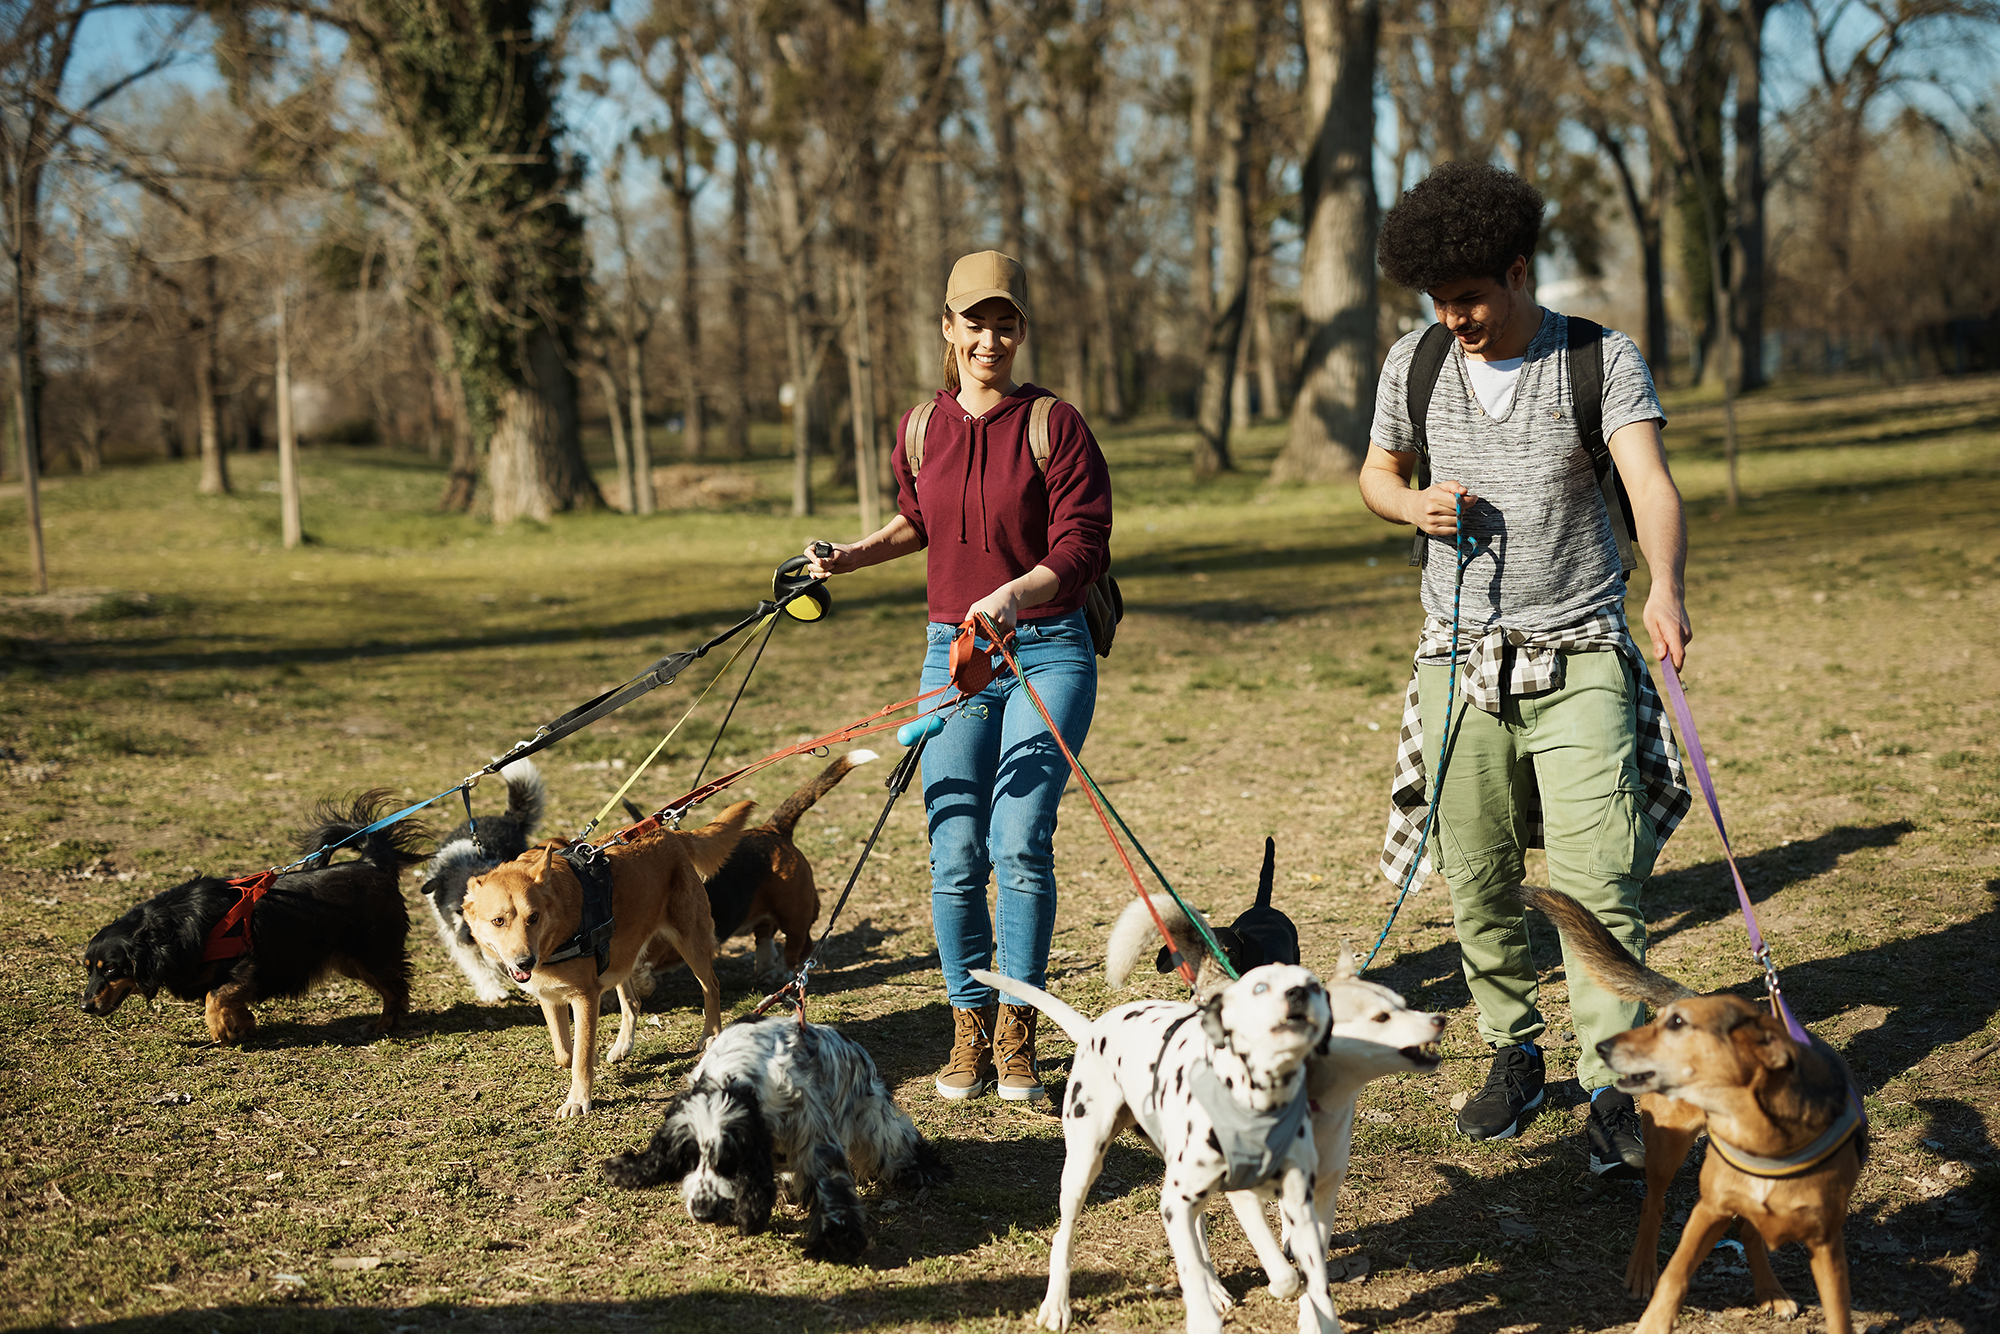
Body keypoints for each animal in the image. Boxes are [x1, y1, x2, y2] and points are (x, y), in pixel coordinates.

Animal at [79, 792, 430, 1040]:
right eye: (88, 968)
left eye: (111, 968)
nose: (84, 1007)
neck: (175, 929)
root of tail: (372, 863)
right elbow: (229, 999)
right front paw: (243, 1025)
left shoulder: (249, 963)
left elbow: (214, 997)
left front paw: (220, 1029)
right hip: (349, 959)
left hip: (370, 955)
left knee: (396, 988)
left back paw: (383, 1024)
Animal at [464, 804, 752, 1120]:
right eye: (498, 921)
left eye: (534, 917)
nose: (526, 962)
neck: (558, 929)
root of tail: (670, 833)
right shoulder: (550, 998)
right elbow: (565, 1053)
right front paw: (591, 1059)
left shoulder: (585, 997)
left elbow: (579, 1055)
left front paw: (579, 1098)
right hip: (621, 953)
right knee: (633, 1002)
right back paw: (622, 1046)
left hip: (690, 942)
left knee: (711, 985)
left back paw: (710, 1034)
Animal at [972, 972, 1344, 1334]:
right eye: (1260, 987)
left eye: (1313, 985)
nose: (1298, 993)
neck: (1262, 1101)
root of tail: (1095, 1029)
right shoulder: (1224, 1198)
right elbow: (1267, 1273)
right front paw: (1205, 1315)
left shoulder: (1297, 1205)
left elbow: (1302, 1275)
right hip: (1083, 1167)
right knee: (1064, 1236)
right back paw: (1056, 1306)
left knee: (1198, 1230)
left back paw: (1213, 1286)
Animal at [1520, 888, 1864, 1334]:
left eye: (1678, 1025)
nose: (1604, 1047)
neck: (1761, 1140)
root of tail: (1695, 993)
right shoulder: (1707, 1210)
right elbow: (1676, 1274)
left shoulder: (1826, 1243)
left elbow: (1838, 1312)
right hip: (1667, 1149)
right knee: (1654, 1205)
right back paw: (1642, 1270)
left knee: (1747, 1231)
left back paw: (1770, 1291)